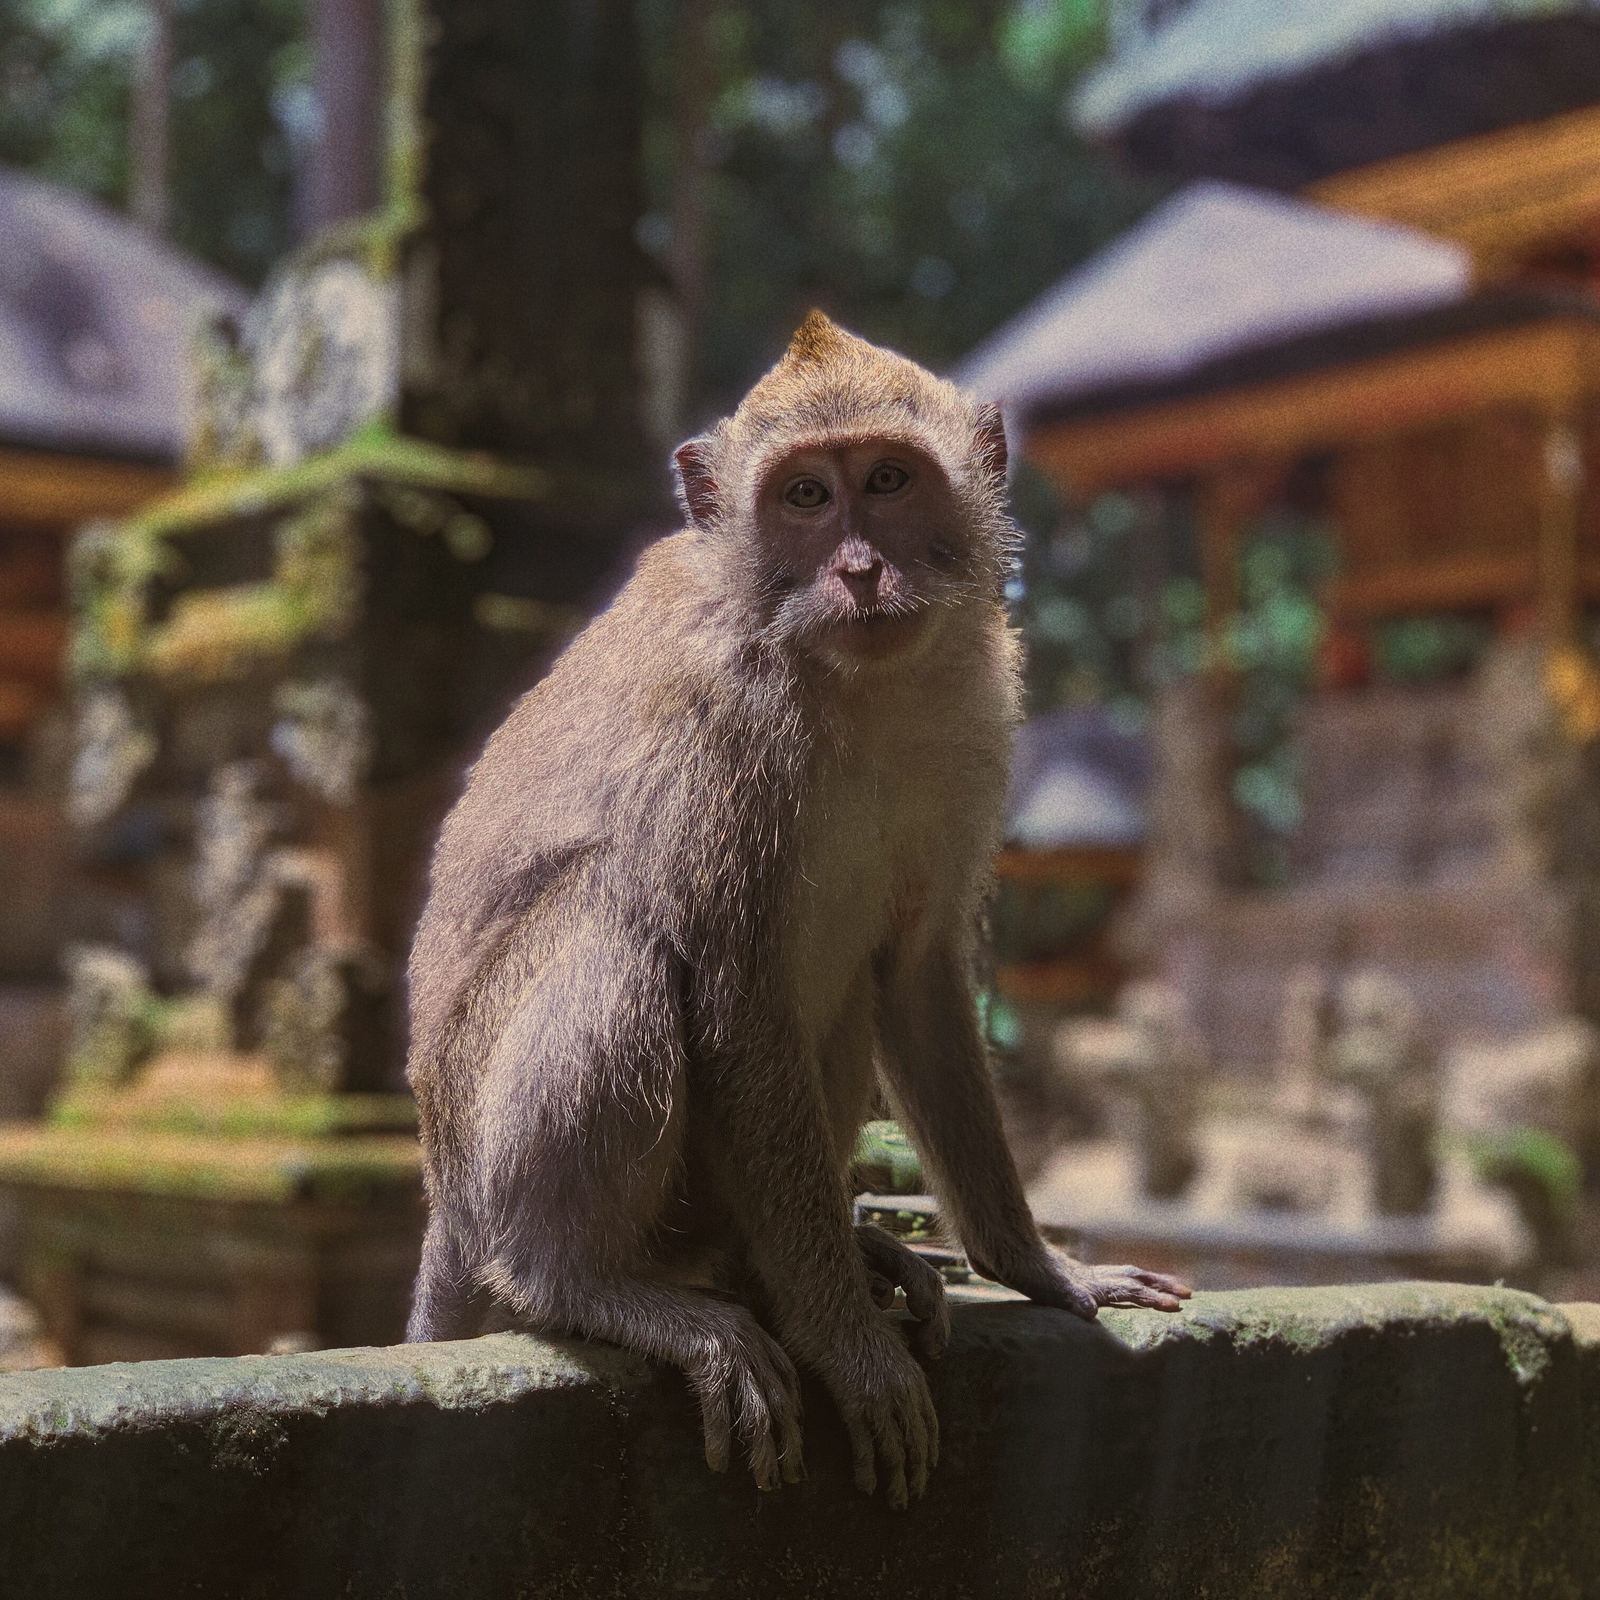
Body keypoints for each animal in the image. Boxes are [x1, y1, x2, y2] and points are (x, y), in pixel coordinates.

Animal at [403, 310, 1190, 1507]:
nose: (859, 570)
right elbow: (735, 997)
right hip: (484, 1137)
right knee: (618, 919)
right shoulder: (721, 727)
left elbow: (916, 977)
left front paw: (1038, 1267)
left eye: (887, 480)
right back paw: (586, 1285)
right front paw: (847, 1346)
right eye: (806, 498)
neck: (847, 679)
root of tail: (444, 1193)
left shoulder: (976, 716)